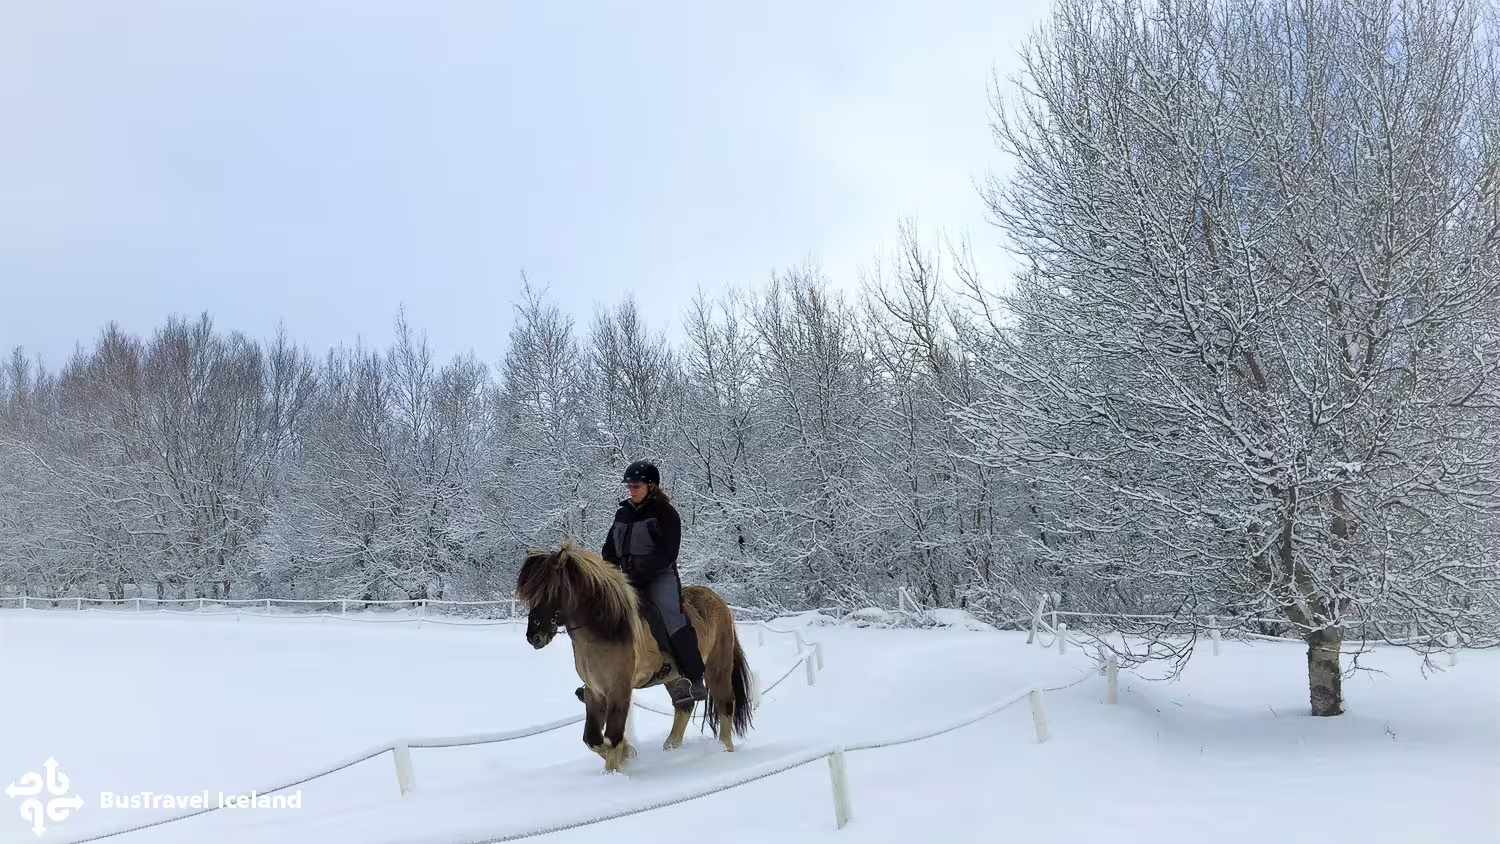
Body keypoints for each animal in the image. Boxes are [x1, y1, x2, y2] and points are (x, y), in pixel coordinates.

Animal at [516, 538, 754, 773]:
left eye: (551, 589)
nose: (534, 636)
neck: (605, 629)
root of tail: (720, 602)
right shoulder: (595, 691)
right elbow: (592, 739)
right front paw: (628, 754)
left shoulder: (619, 690)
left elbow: (612, 737)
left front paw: (614, 772)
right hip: (674, 677)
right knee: (684, 706)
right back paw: (670, 748)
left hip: (717, 667)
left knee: (725, 705)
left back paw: (724, 751)